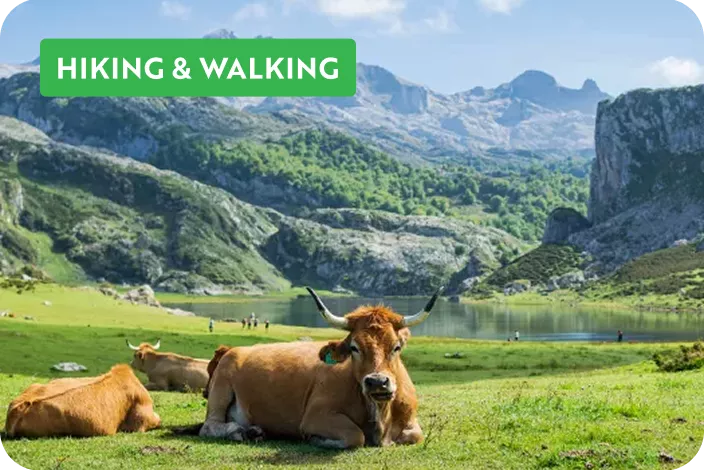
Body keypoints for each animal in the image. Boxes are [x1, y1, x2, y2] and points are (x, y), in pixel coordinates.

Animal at [197, 286, 442, 448]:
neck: (381, 416)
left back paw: (255, 431)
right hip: (220, 390)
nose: (377, 382)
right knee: (209, 426)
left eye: (396, 346)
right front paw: (317, 439)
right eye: (354, 347)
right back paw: (240, 432)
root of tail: (231, 350)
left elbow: (415, 435)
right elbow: (355, 436)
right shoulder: (316, 415)